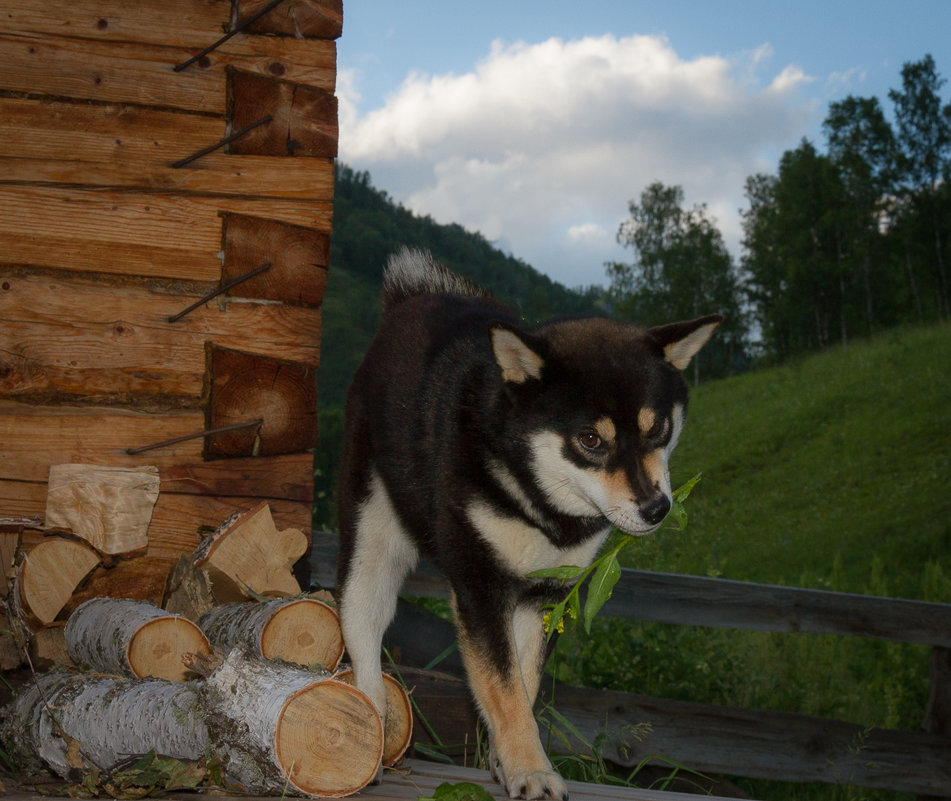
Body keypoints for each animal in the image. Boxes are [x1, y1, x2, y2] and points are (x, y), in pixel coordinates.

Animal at [338, 247, 716, 796]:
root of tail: (411, 301)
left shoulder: (546, 596)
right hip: (371, 542)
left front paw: (507, 761)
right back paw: (371, 733)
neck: (542, 507)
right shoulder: (481, 588)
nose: (656, 508)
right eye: (590, 440)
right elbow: (505, 689)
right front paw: (532, 771)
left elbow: (524, 685)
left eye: (658, 428)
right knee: (362, 633)